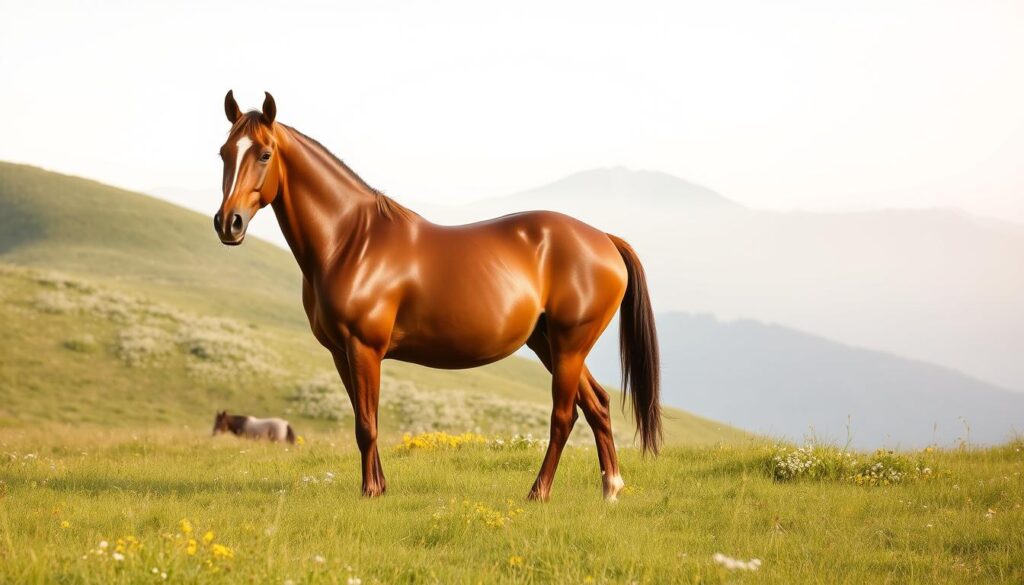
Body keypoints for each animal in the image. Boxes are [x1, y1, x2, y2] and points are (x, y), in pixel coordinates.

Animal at [212, 90, 661, 501]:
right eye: (224, 153)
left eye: (265, 154)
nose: (228, 223)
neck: (352, 241)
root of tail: (604, 239)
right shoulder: (341, 353)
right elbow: (364, 417)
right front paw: (380, 487)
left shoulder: (364, 348)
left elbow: (366, 425)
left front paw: (370, 492)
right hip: (551, 344)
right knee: (598, 405)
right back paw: (610, 489)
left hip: (569, 346)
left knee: (564, 417)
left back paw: (539, 493)